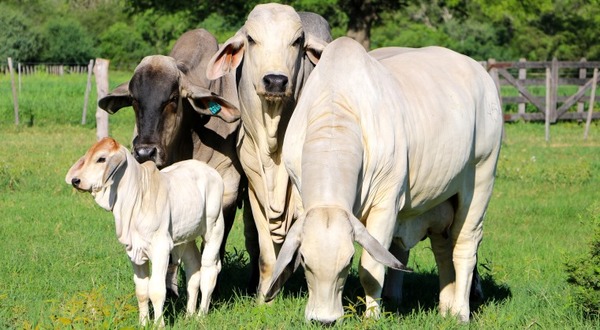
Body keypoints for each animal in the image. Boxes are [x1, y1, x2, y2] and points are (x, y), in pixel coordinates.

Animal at [65, 137, 224, 328]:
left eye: (101, 159)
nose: (76, 180)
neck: (136, 198)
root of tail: (211, 171)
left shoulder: (161, 248)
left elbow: (156, 290)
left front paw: (158, 325)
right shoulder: (133, 250)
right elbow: (142, 290)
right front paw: (143, 323)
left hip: (214, 227)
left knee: (209, 269)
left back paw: (201, 316)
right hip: (187, 236)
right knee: (194, 268)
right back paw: (189, 315)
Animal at [205, 3, 328, 300]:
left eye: (297, 41)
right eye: (251, 39)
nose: (275, 81)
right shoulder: (255, 188)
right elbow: (266, 255)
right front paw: (264, 297)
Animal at [266, 37, 502, 324]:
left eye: (347, 262)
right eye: (305, 259)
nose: (324, 320)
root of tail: (481, 74)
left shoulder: (386, 205)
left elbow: (371, 267)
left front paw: (372, 316)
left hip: (481, 177)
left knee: (464, 247)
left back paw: (460, 312)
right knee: (443, 249)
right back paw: (444, 307)